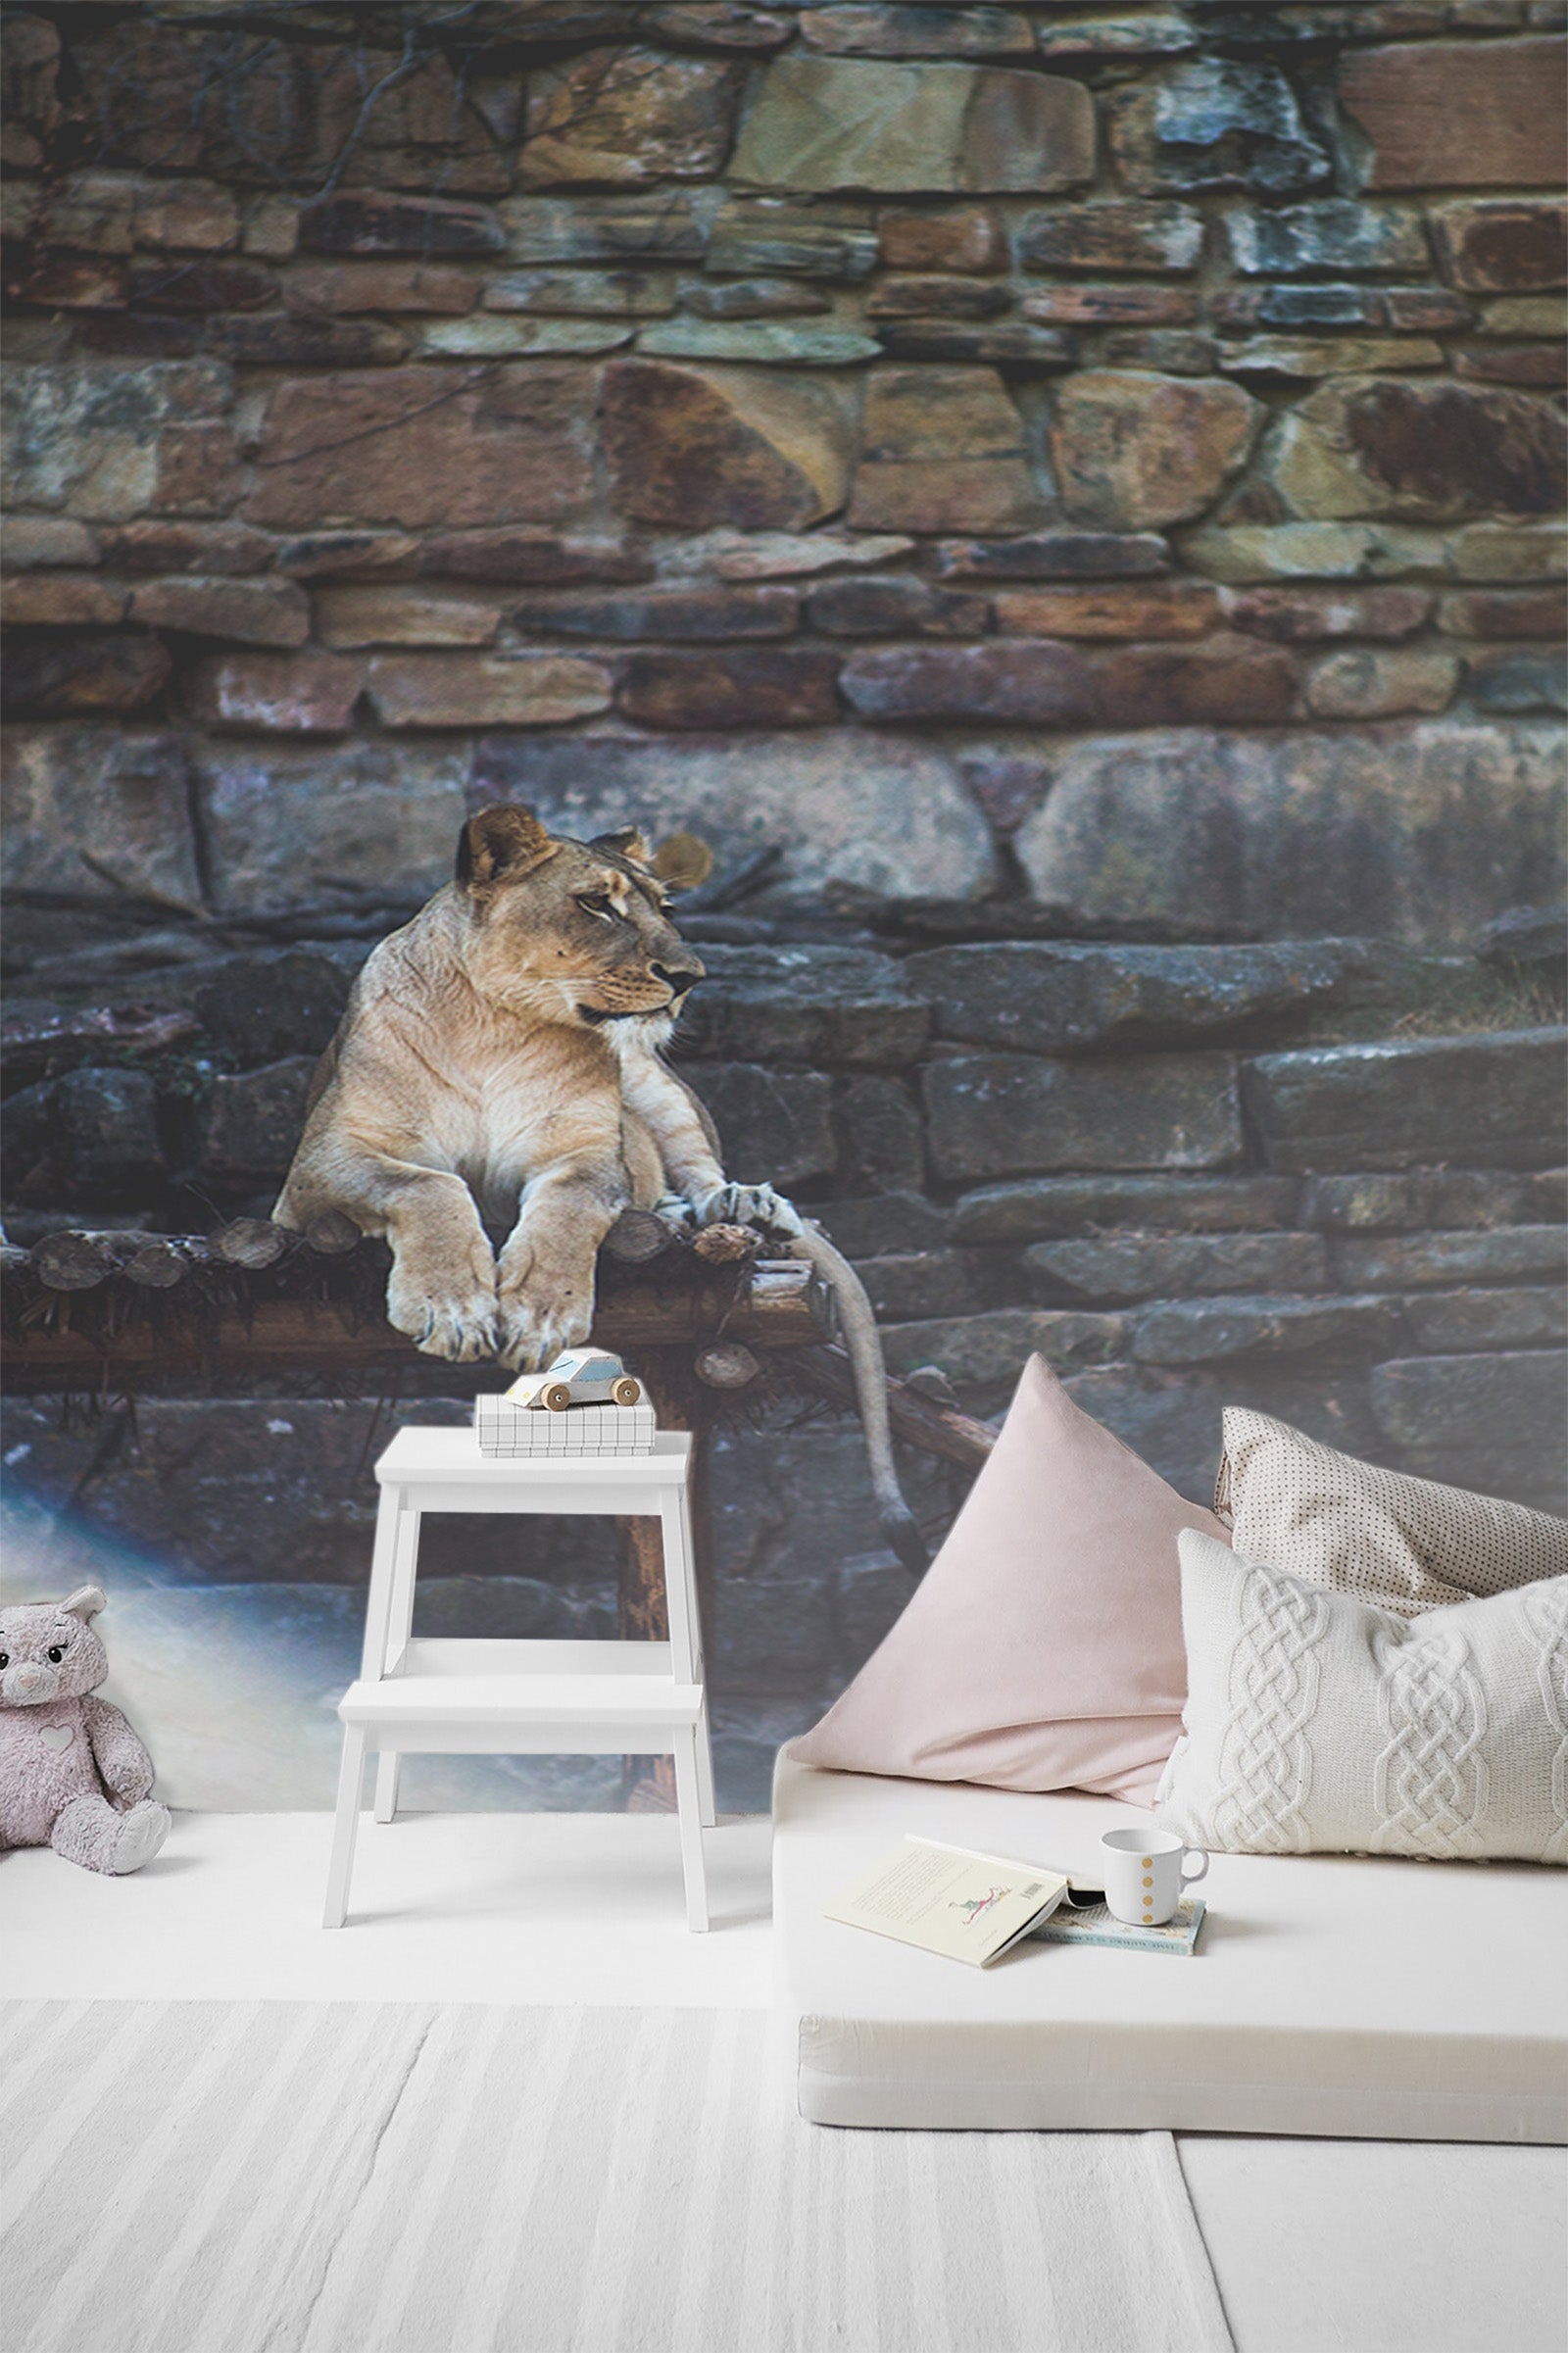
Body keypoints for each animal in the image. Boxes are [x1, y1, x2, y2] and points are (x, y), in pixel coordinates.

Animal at [273, 804, 924, 1569]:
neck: (493, 1025)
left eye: (665, 907)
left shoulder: (586, 1152)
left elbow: (568, 1208)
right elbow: (428, 1186)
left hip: (649, 1078)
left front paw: (539, 1316)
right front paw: (453, 1309)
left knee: (701, 1169)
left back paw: (744, 1204)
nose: (689, 976)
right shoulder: (317, 1167)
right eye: (595, 904)